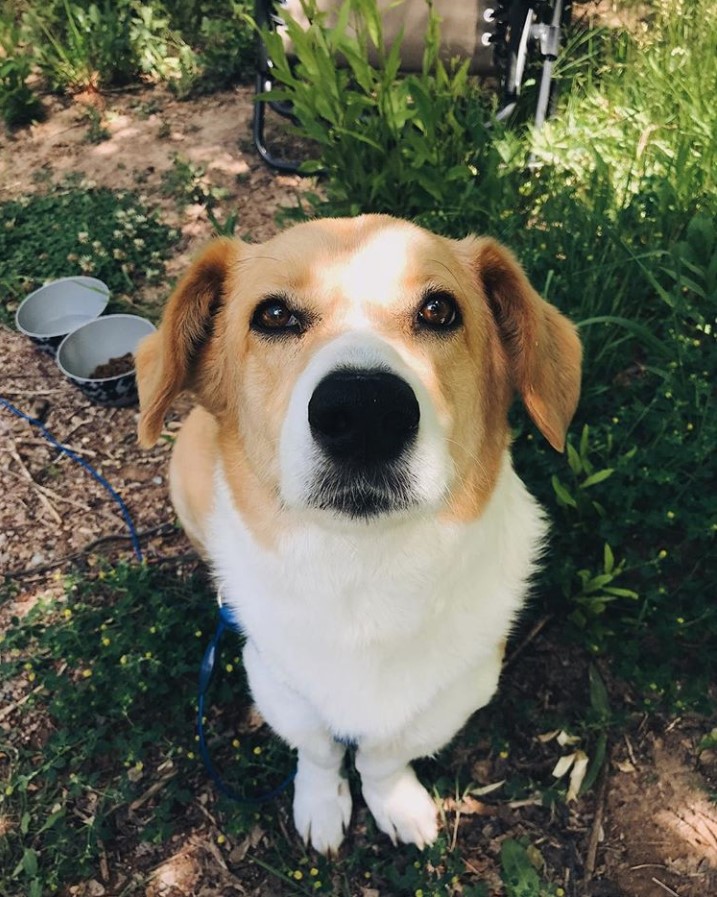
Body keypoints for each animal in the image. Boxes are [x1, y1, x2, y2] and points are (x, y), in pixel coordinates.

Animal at [136, 214, 580, 852]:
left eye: (439, 310)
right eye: (273, 315)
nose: (366, 410)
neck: (363, 574)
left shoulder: (452, 697)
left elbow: (381, 758)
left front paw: (393, 802)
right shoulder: (280, 687)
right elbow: (320, 754)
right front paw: (322, 805)